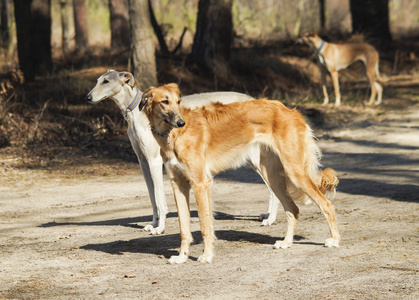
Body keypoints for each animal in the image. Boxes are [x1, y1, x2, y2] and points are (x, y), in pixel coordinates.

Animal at [141, 83, 342, 264]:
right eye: (164, 102)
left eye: (178, 101)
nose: (181, 123)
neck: (172, 135)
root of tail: (290, 111)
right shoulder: (178, 184)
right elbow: (184, 227)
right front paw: (182, 257)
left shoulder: (200, 183)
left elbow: (205, 225)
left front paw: (207, 256)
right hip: (272, 176)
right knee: (293, 209)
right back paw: (286, 242)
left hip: (294, 172)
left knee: (326, 204)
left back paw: (334, 240)